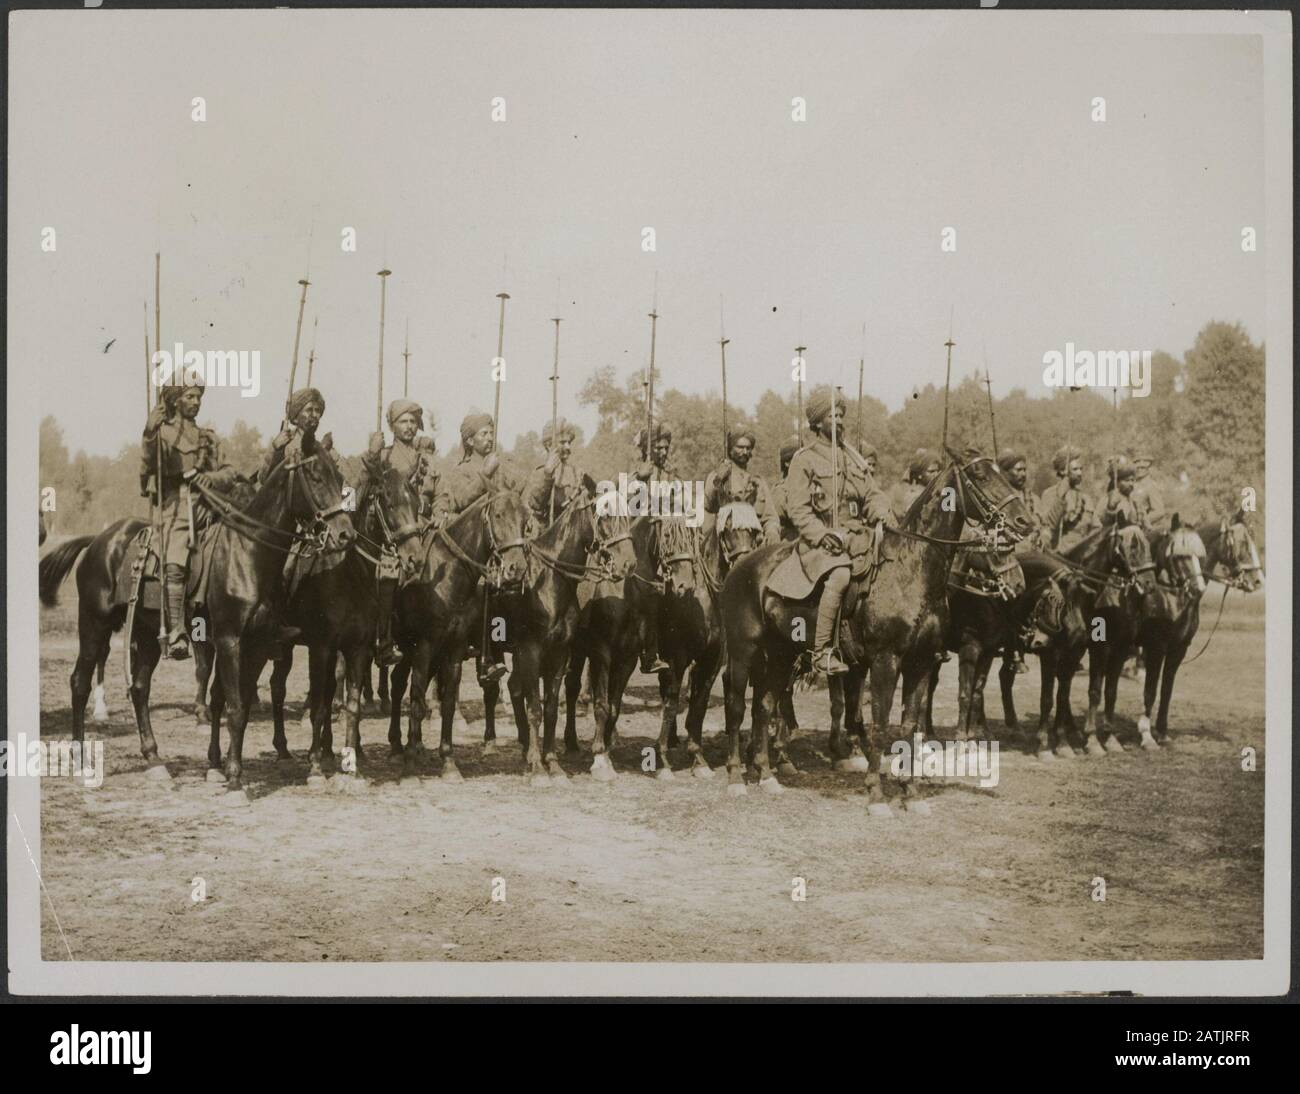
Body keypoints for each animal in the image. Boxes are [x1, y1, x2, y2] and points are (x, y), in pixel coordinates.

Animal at [717, 446, 1029, 805]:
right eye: (980, 475)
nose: (1024, 521)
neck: (912, 569)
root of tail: (740, 566)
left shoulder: (921, 662)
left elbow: (908, 724)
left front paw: (911, 792)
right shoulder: (884, 660)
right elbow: (879, 723)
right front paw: (876, 793)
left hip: (781, 654)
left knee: (764, 707)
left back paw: (767, 775)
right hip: (743, 652)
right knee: (736, 707)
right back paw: (735, 777)